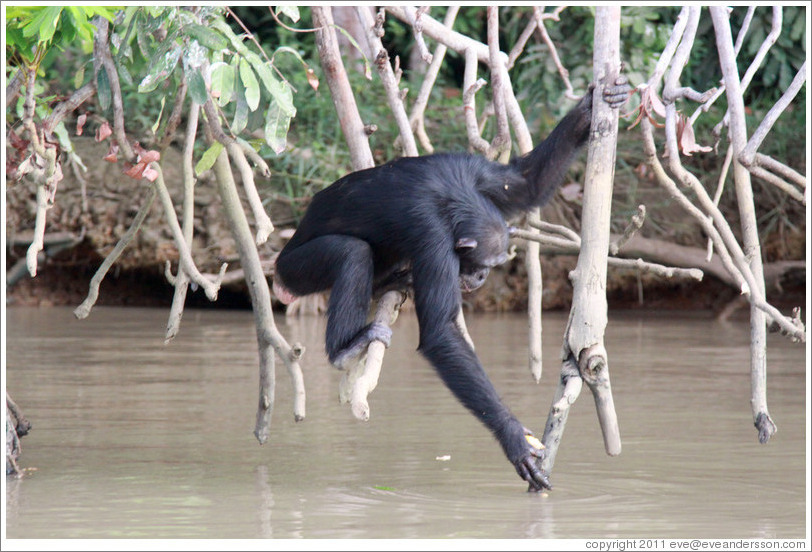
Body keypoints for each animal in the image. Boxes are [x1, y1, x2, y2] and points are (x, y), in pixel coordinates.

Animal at [272, 78, 628, 492]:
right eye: (483, 264)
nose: (483, 277)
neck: (452, 198)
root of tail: (277, 270)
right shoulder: (432, 236)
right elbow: (441, 333)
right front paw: (512, 437)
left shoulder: (474, 171)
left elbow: (525, 183)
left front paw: (589, 108)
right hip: (296, 269)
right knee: (351, 253)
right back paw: (346, 347)